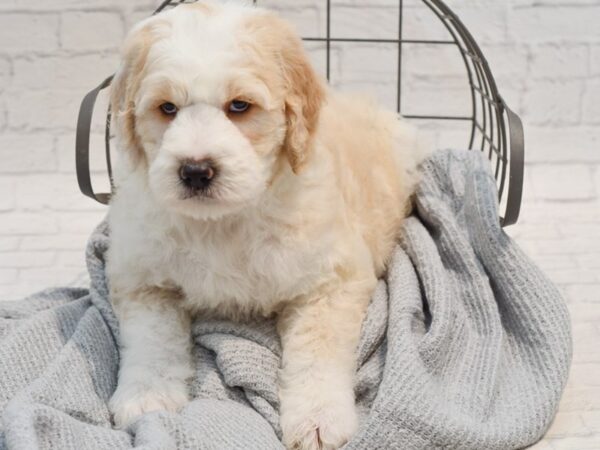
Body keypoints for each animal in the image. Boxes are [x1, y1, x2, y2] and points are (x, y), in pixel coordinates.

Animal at [108, 1, 426, 448]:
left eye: (240, 106)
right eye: (167, 108)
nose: (195, 171)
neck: (223, 223)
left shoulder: (331, 280)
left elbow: (318, 350)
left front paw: (319, 418)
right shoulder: (141, 277)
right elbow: (152, 338)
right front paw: (146, 396)